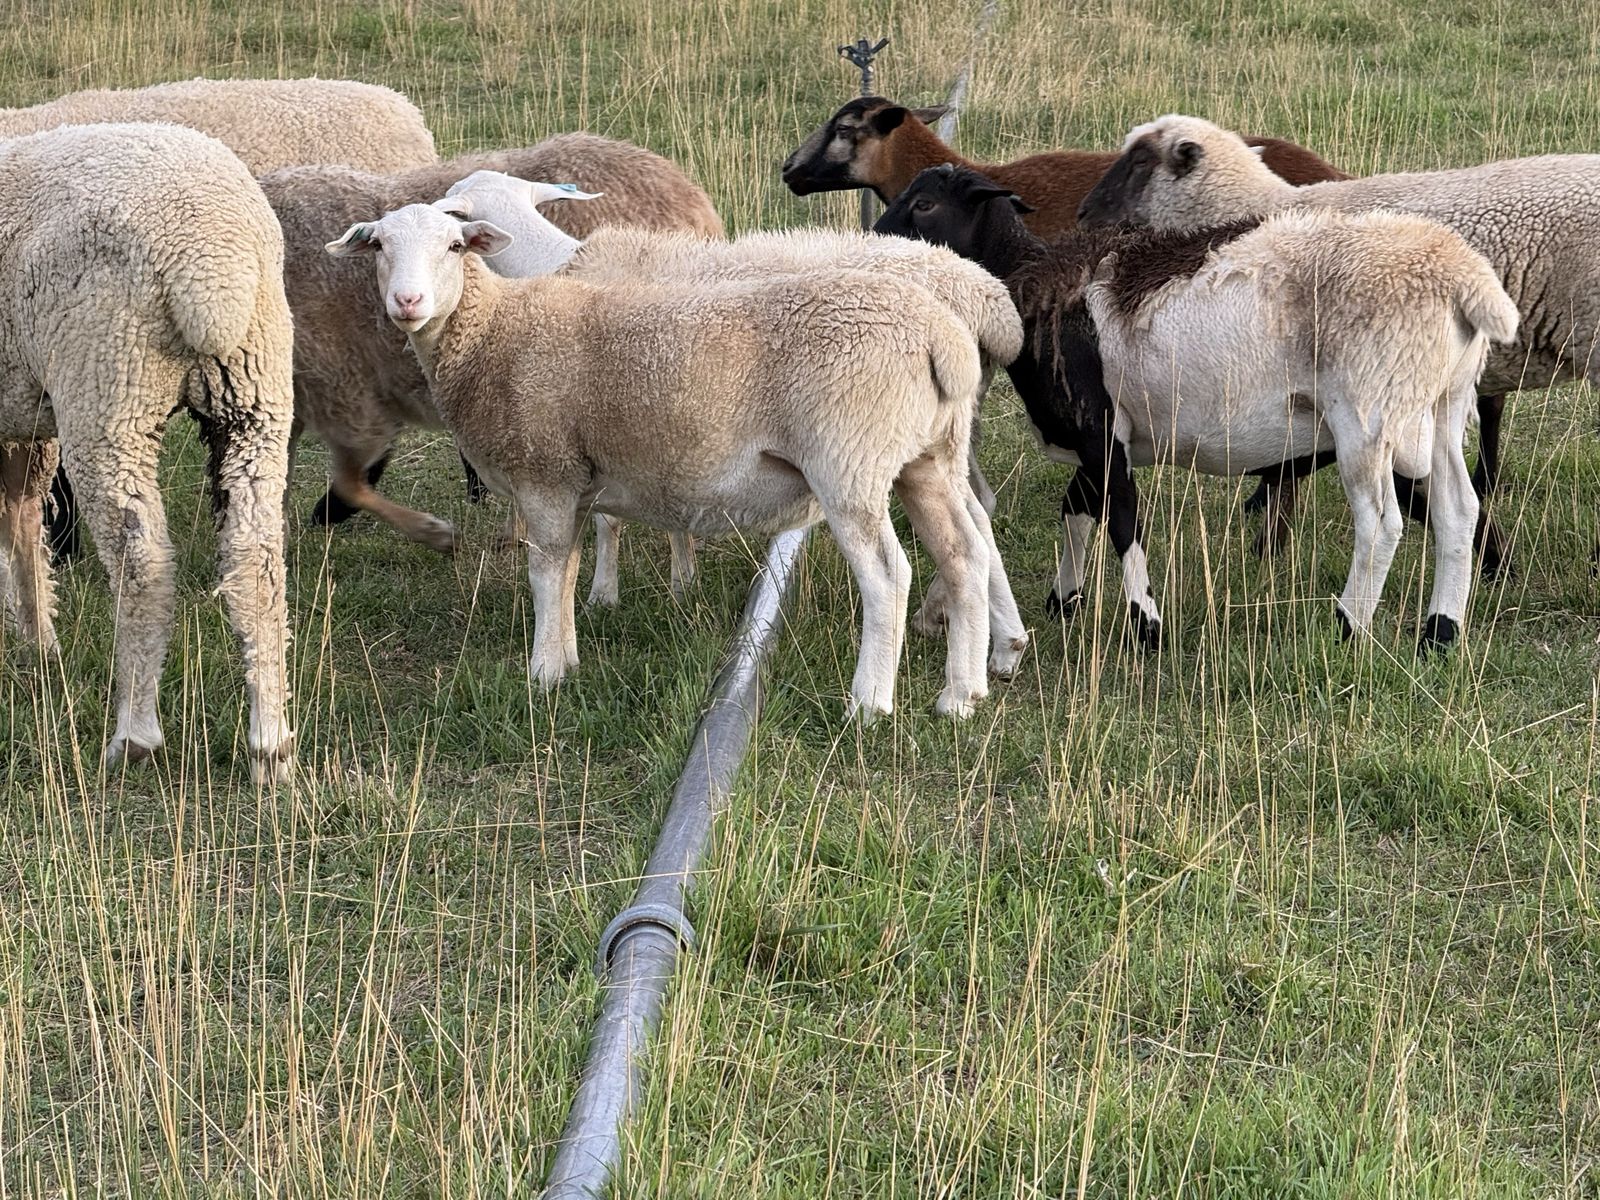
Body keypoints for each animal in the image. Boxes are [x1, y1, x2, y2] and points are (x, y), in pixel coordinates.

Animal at [0, 123, 296, 781]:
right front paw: (37, 643)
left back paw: (134, 735)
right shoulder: (26, 410)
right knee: (257, 560)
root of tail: (211, 263)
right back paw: (270, 743)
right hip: (255, 389)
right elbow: (22, 518)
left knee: (143, 565)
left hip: (109, 388)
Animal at [327, 203, 1000, 717]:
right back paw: (961, 697)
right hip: (927, 460)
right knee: (965, 555)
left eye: (453, 244)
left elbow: (545, 574)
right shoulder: (575, 479)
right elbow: (569, 569)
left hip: (850, 462)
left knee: (888, 576)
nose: (407, 300)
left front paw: (543, 672)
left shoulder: (544, 470)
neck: (493, 332)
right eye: (380, 245)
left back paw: (869, 703)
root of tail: (941, 334)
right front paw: (568, 656)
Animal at [875, 165, 1519, 651]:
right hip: (1442, 403)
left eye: (925, 204)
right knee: (1459, 509)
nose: (876, 245)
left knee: (1382, 522)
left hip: (1369, 413)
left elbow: (1123, 520)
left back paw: (1349, 625)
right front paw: (1065, 599)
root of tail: (1463, 280)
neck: (1034, 285)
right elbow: (1077, 508)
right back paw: (1440, 631)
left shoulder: (1097, 428)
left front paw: (1146, 626)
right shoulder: (1104, 436)